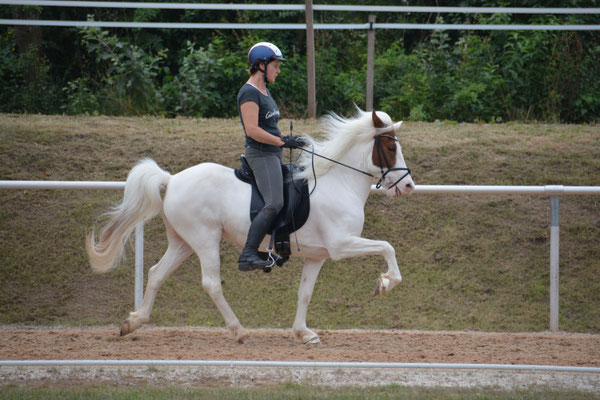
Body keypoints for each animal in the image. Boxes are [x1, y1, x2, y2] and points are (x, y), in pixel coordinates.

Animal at [88, 109, 412, 344]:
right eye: (389, 147)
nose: (408, 186)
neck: (338, 182)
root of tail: (172, 179)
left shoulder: (317, 255)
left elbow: (305, 293)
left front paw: (303, 333)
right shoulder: (342, 244)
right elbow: (387, 247)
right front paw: (385, 283)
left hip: (183, 242)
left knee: (156, 274)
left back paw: (133, 322)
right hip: (205, 239)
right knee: (210, 283)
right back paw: (240, 331)